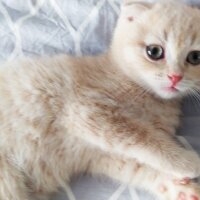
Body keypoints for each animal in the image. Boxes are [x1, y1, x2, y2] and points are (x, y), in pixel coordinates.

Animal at [0, 1, 200, 200]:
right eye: (154, 51)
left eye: (195, 57)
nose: (175, 77)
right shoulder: (87, 111)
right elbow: (143, 138)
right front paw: (188, 162)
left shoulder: (101, 156)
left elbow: (140, 168)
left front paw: (181, 189)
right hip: (7, 181)